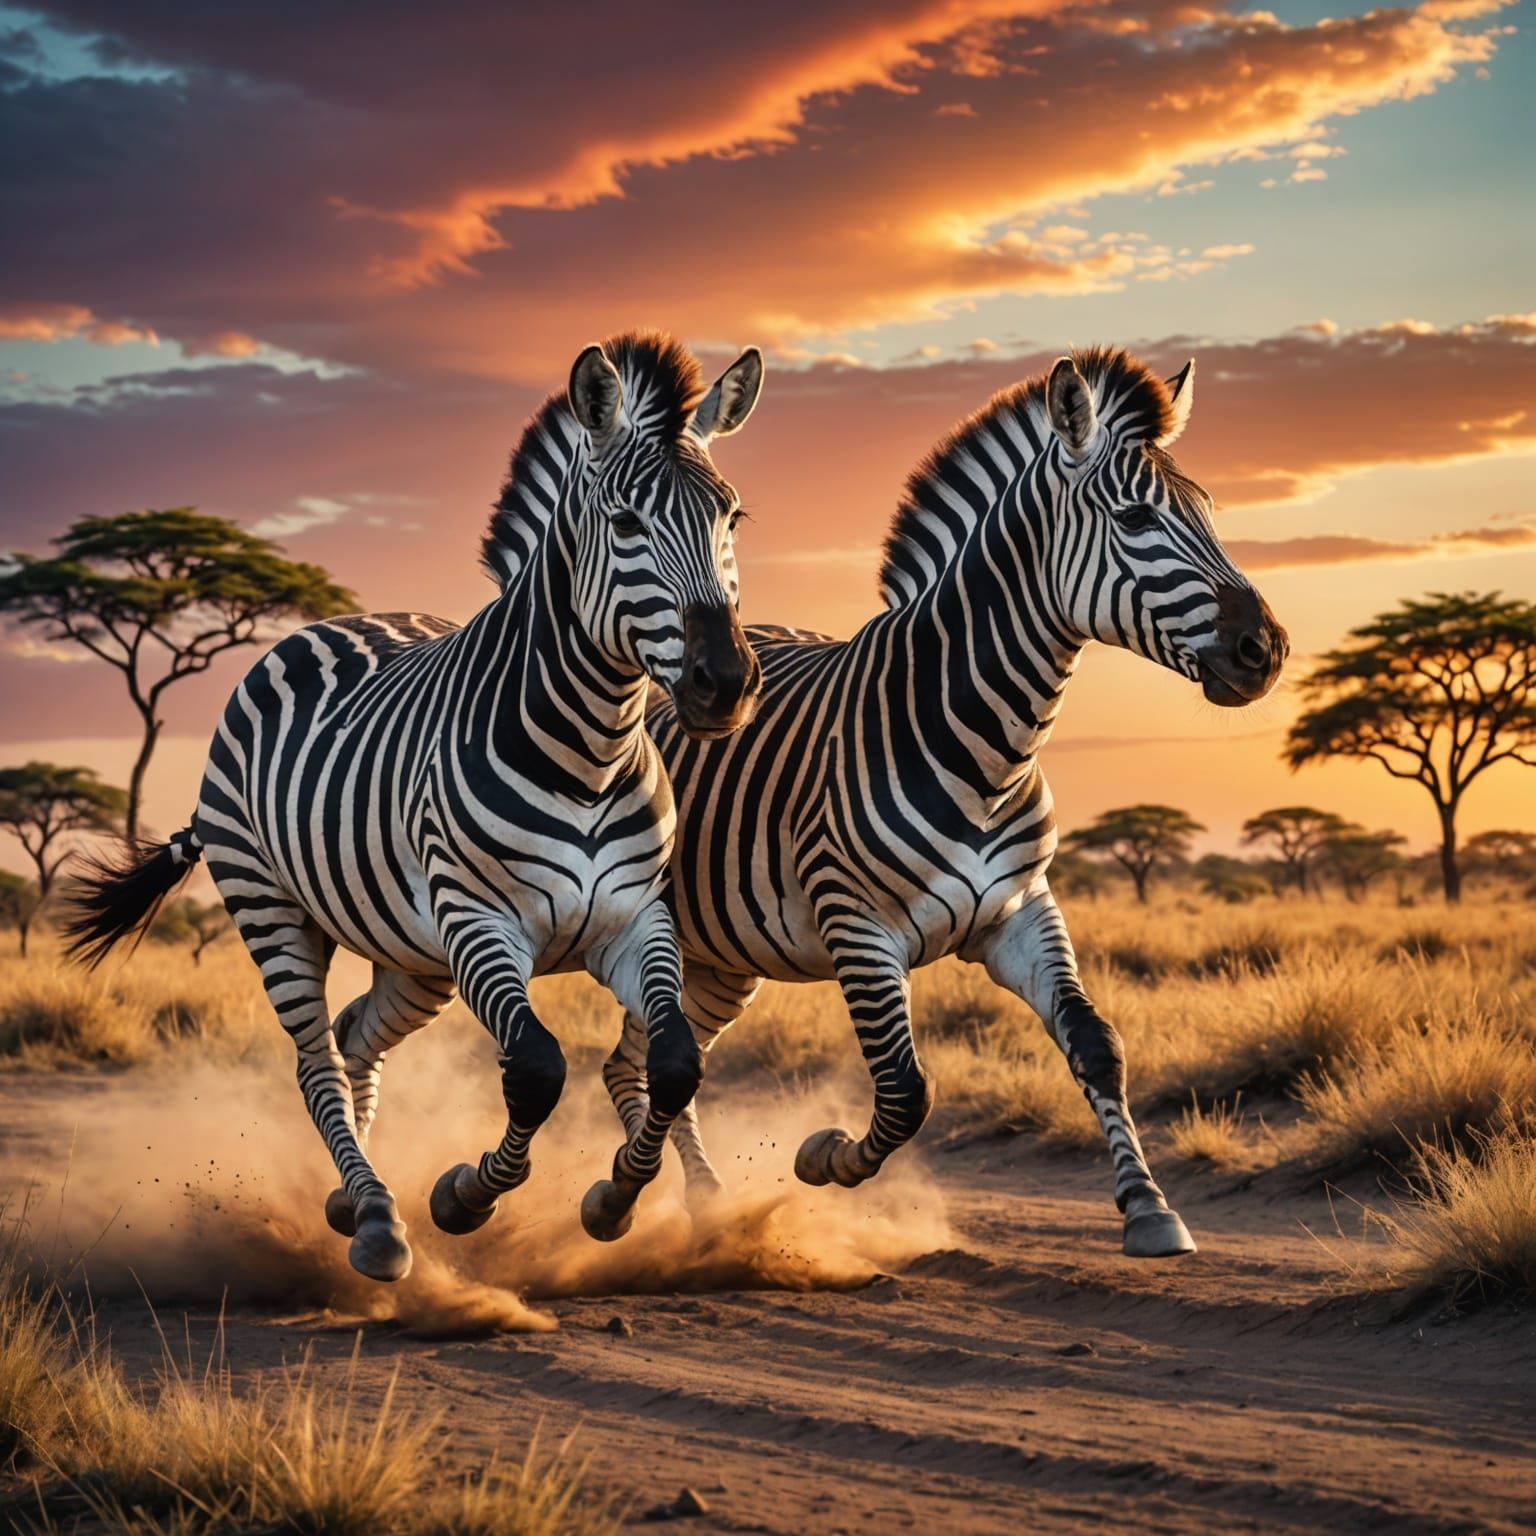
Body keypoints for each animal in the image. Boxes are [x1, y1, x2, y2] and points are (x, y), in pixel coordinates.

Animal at [64, 331, 767, 1282]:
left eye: (732, 519)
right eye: (624, 524)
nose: (723, 685)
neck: (590, 750)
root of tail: (315, 628)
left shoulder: (632, 920)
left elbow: (676, 1061)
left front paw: (616, 1199)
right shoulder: (480, 921)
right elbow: (536, 1069)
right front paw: (464, 1197)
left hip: (412, 953)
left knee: (356, 1034)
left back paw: (347, 1195)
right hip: (274, 907)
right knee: (317, 1060)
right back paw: (375, 1218)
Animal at [607, 346, 1288, 1257]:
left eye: (1209, 510)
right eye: (1139, 518)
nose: (1266, 650)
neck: (983, 744)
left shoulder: (1022, 910)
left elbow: (1097, 1044)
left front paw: (1149, 1208)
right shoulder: (856, 926)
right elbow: (906, 1092)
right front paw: (823, 1156)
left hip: (720, 956)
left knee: (636, 1059)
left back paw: (683, 1201)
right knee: (644, 1061)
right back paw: (669, 1203)